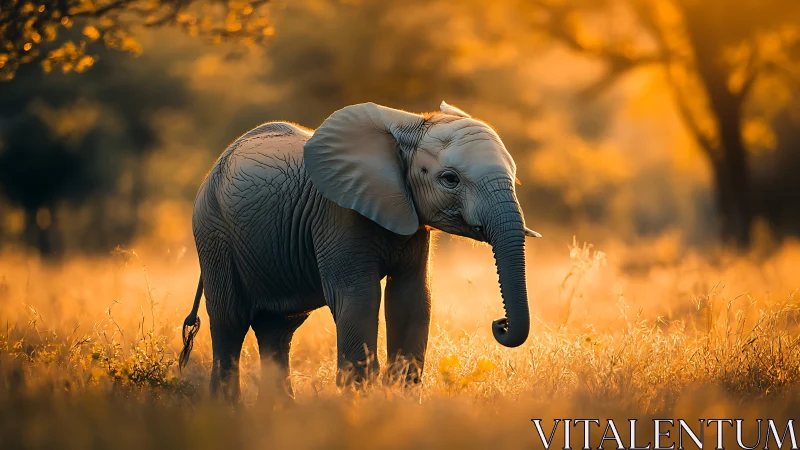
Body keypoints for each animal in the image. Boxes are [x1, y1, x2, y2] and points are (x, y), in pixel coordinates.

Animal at [179, 101, 540, 402]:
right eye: (450, 179)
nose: (500, 323)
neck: (409, 125)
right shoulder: (337, 214)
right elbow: (359, 297)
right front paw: (360, 406)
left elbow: (411, 298)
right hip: (212, 230)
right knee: (230, 320)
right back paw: (228, 411)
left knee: (277, 329)